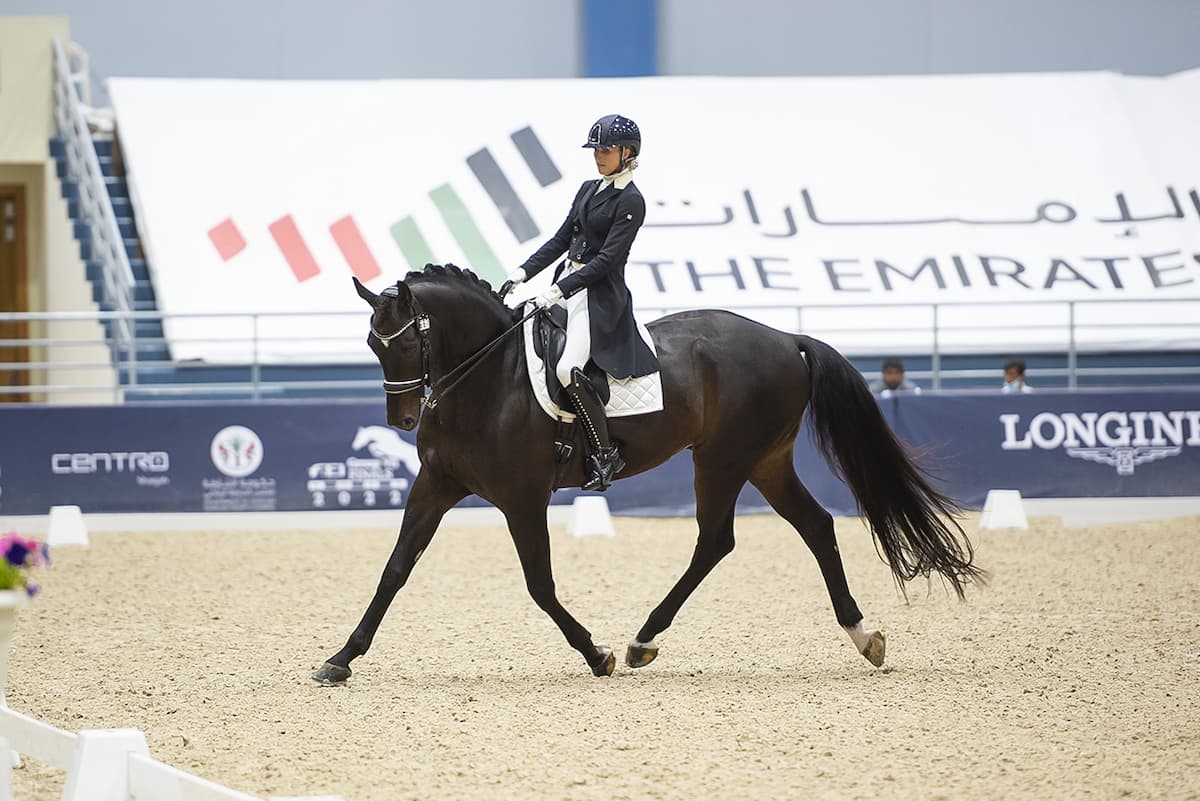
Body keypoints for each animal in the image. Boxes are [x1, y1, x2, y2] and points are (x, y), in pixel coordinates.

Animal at [314, 262, 988, 681]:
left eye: (406, 343)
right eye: (372, 344)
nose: (403, 418)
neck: (488, 376)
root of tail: (782, 337)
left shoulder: (523, 497)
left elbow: (539, 585)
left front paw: (597, 654)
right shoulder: (436, 485)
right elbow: (396, 569)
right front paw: (341, 659)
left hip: (723, 458)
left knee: (717, 540)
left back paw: (640, 641)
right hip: (764, 460)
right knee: (815, 527)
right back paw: (862, 635)